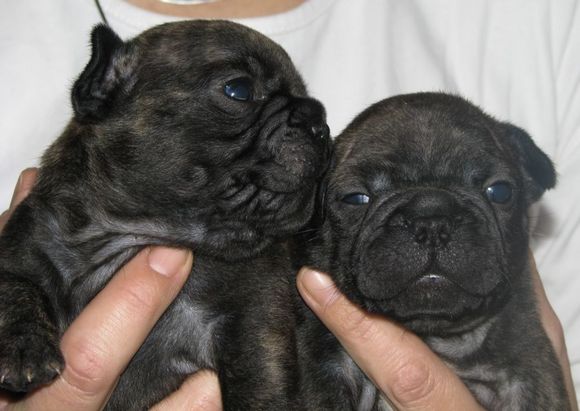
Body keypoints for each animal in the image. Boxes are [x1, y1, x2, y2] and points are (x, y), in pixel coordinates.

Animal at [297, 92, 569, 410]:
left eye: (499, 192)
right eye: (356, 198)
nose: (431, 221)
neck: (437, 337)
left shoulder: (530, 375)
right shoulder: (331, 371)